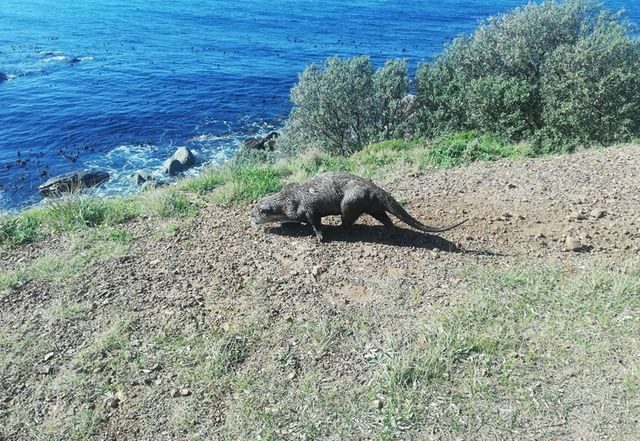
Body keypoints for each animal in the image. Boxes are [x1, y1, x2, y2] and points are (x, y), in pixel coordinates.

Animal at [252, 171, 468, 241]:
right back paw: (389, 232)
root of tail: (374, 187)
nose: (250, 219)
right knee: (385, 218)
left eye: (255, 215)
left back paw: (341, 230)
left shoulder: (308, 209)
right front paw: (287, 224)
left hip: (351, 202)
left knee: (348, 221)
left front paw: (320, 237)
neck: (289, 200)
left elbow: (315, 223)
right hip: (372, 206)